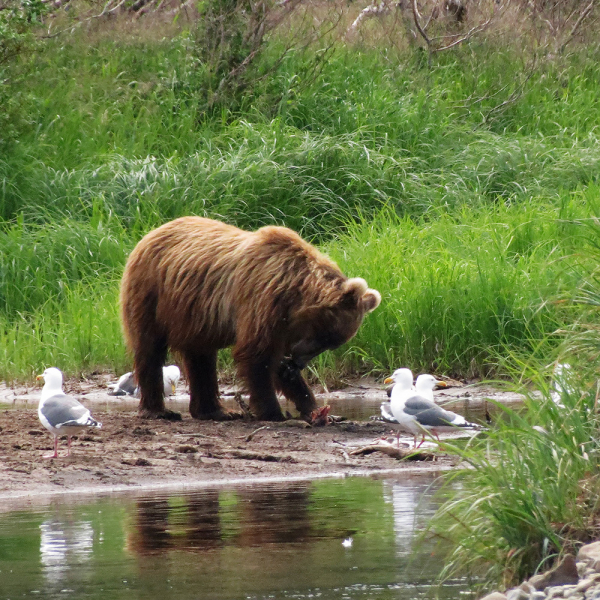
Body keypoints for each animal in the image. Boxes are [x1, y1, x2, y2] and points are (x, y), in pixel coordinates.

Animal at [120, 217, 382, 422]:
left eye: (331, 343)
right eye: (325, 335)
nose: (298, 362)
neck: (294, 293)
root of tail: (149, 233)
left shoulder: (281, 322)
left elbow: (275, 362)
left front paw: (313, 406)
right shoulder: (261, 300)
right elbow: (258, 355)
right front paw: (273, 412)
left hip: (195, 314)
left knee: (201, 357)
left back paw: (215, 411)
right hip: (152, 294)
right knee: (150, 349)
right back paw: (159, 411)